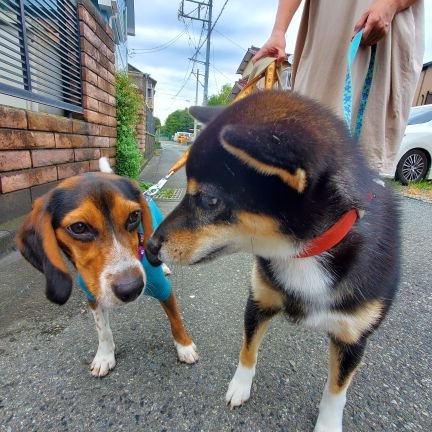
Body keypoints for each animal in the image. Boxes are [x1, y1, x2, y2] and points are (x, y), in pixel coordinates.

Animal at [16, 159, 198, 378]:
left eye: (134, 216)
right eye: (78, 227)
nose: (131, 289)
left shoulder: (163, 289)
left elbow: (175, 319)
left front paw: (184, 346)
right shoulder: (93, 296)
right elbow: (102, 329)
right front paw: (104, 356)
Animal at [147, 90, 400, 428]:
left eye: (209, 199)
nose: (150, 246)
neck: (304, 253)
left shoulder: (353, 339)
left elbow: (336, 391)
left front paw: (328, 424)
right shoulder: (258, 301)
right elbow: (248, 351)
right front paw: (240, 387)